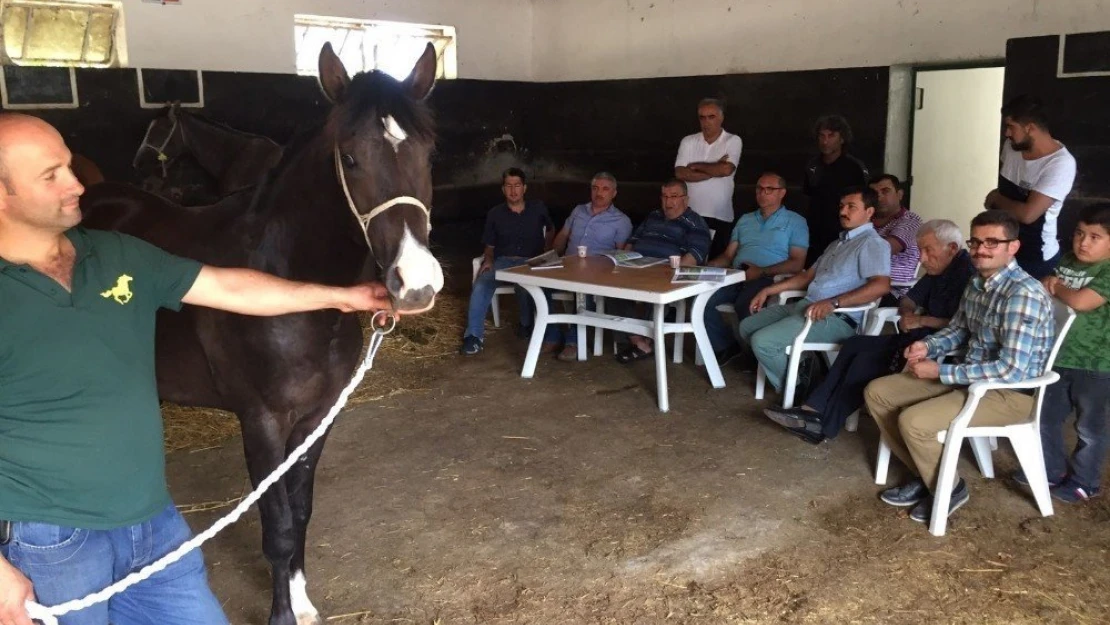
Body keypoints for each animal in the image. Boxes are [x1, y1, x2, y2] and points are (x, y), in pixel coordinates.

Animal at [80, 44, 441, 625]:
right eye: (350, 158)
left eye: (429, 156)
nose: (416, 283)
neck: (289, 282)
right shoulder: (262, 423)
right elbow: (277, 528)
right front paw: (282, 615)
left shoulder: (317, 419)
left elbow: (301, 512)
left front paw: (303, 601)